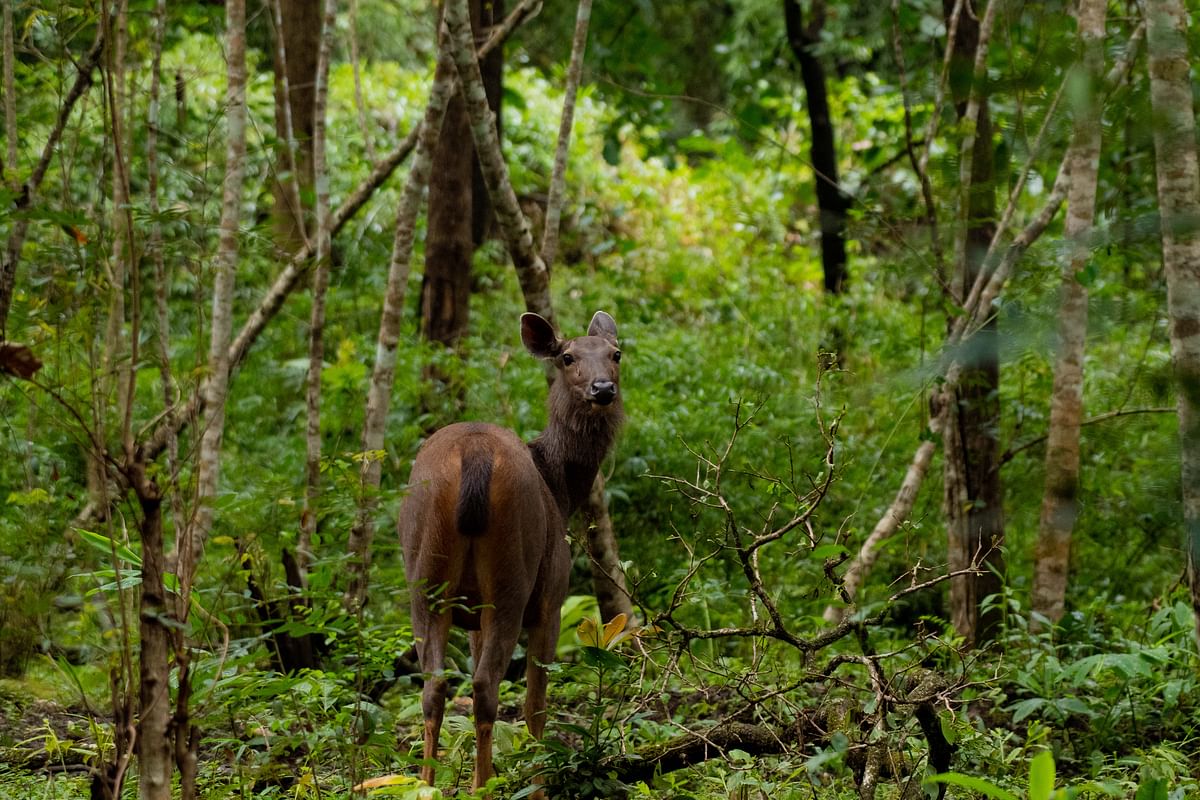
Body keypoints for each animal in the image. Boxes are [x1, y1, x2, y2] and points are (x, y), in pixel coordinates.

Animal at [400, 309, 628, 791]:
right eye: (567, 357)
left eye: (615, 353)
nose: (603, 389)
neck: (561, 489)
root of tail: (474, 458)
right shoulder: (552, 599)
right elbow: (535, 705)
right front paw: (536, 782)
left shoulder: (470, 615)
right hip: (512, 575)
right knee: (486, 686)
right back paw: (483, 788)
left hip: (425, 578)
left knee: (434, 686)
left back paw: (428, 785)